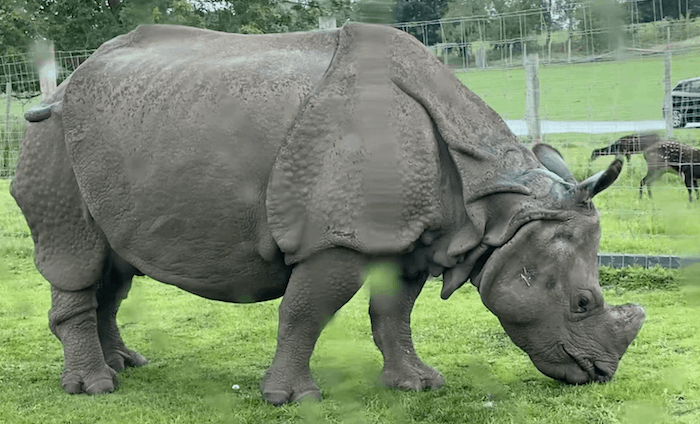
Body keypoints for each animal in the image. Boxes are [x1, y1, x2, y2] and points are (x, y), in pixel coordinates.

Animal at [12, 23, 644, 405]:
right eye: (583, 302)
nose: (601, 375)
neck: (501, 207)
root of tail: (61, 85)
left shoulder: (409, 237)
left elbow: (393, 314)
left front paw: (417, 385)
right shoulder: (338, 239)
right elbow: (305, 314)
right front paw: (291, 399)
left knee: (113, 267)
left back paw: (127, 365)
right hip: (51, 139)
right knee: (77, 256)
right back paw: (96, 388)